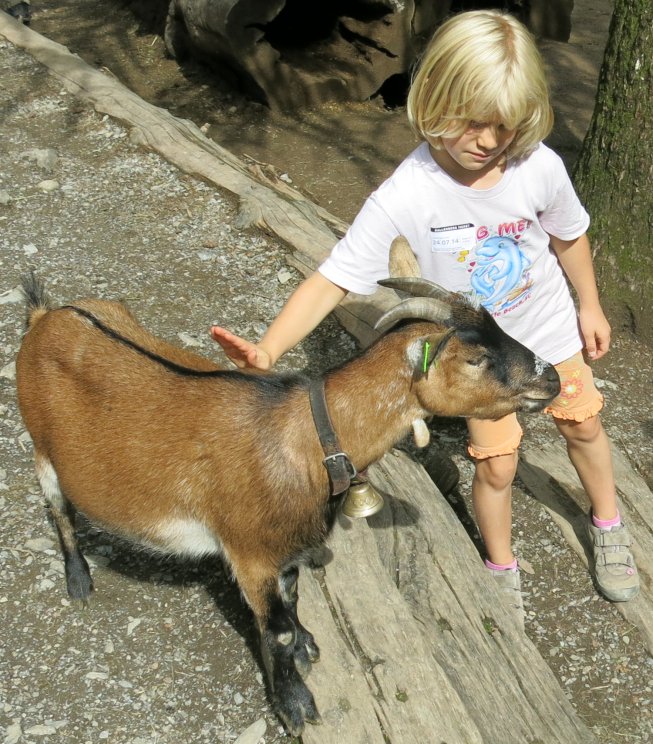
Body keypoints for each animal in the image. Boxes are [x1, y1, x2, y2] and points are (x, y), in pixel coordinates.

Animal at [15, 256, 556, 732]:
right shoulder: (250, 551)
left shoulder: (290, 543)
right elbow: (274, 629)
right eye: (476, 358)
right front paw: (295, 703)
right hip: (41, 447)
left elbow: (293, 599)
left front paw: (308, 645)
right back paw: (79, 581)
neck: (309, 439)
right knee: (58, 509)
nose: (550, 375)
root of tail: (47, 315)